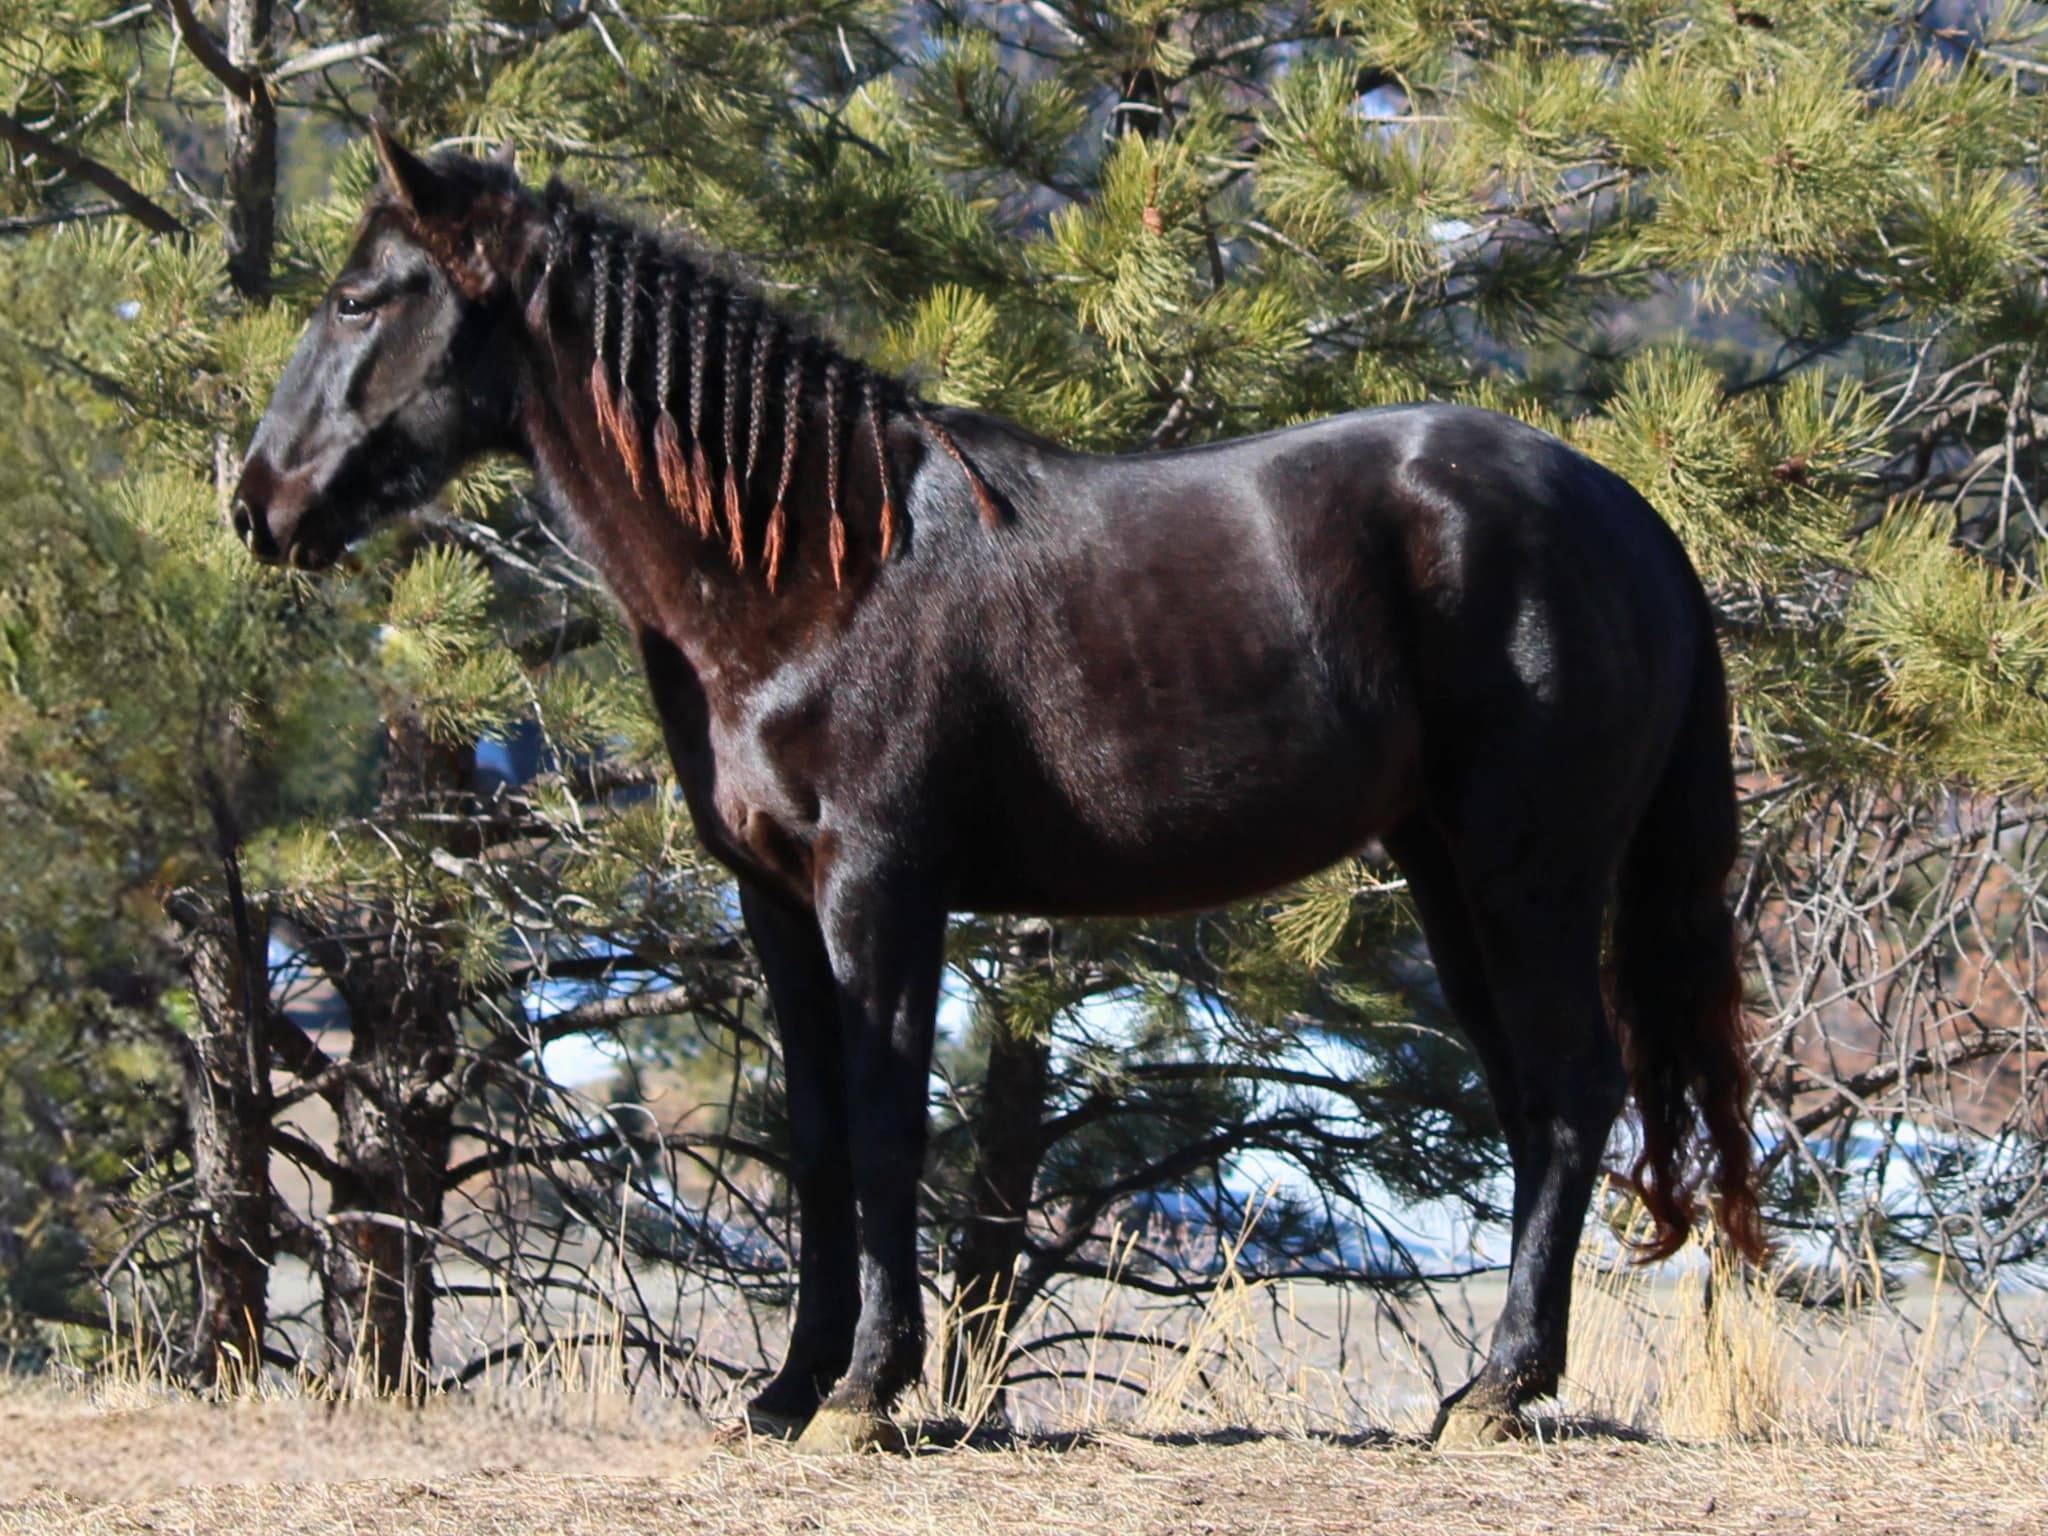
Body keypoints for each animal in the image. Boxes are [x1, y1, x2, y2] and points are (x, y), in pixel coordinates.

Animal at [228, 135, 1761, 1458]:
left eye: (360, 298)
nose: (256, 505)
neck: (814, 569)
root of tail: (1631, 513)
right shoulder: (775, 902)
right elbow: (817, 1138)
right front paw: (789, 1390)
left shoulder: (881, 892)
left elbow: (888, 1123)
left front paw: (867, 1391)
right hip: (1447, 874)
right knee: (1531, 1100)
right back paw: (1486, 1384)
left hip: (1528, 872)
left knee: (1575, 1086)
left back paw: (1498, 1389)